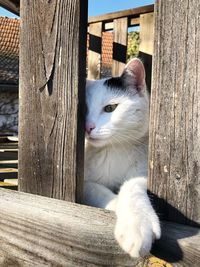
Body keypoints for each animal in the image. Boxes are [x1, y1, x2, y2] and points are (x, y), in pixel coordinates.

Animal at [83, 58, 160, 258]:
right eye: (82, 110)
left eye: (110, 108)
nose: (87, 127)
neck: (114, 150)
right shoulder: (83, 182)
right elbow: (95, 189)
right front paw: (115, 203)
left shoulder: (144, 172)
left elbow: (132, 184)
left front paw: (137, 225)